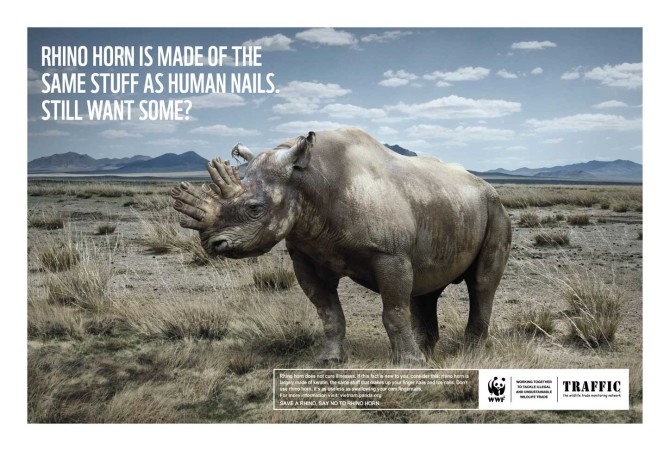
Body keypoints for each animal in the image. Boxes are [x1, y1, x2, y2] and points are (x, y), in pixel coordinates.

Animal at [171, 128, 511, 365]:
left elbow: (394, 310)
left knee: (481, 284)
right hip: (445, 203)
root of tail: (483, 183)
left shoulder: (389, 254)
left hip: (495, 209)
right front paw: (329, 360)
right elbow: (329, 313)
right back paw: (427, 351)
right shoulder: (305, 254)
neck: (307, 180)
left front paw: (409, 364)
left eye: (255, 209)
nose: (212, 244)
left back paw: (468, 355)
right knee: (425, 285)